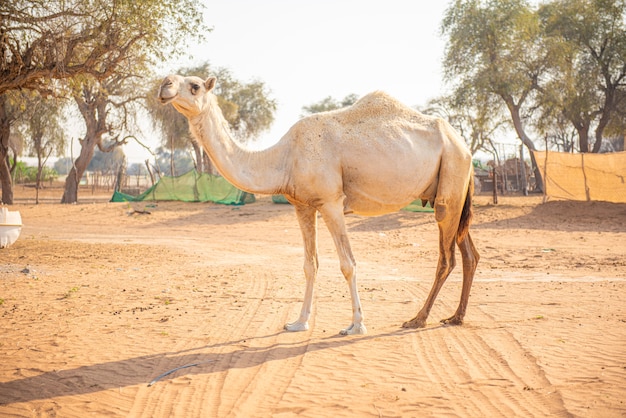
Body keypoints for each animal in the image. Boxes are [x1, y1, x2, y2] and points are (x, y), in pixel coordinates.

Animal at [160, 74, 478, 336]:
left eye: (194, 85)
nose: (164, 85)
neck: (284, 158)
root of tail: (464, 146)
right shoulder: (303, 205)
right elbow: (309, 264)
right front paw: (298, 322)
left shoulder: (331, 202)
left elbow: (348, 264)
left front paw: (356, 325)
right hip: (455, 188)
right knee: (469, 254)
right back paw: (456, 317)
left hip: (450, 182)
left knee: (446, 257)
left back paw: (418, 319)